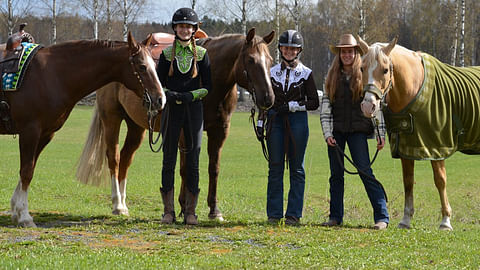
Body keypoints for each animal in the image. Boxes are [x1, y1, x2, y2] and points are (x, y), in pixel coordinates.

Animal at [0, 31, 165, 227]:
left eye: (155, 65)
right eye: (142, 66)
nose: (160, 99)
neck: (49, 74)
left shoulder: (45, 134)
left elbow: (28, 168)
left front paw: (16, 210)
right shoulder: (30, 131)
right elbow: (26, 171)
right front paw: (24, 215)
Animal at [77, 28, 276, 220]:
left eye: (270, 61)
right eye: (251, 60)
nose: (268, 98)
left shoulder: (219, 131)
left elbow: (213, 169)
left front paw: (214, 210)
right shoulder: (183, 133)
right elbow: (184, 169)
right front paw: (183, 206)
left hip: (136, 127)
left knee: (126, 159)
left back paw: (124, 205)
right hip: (112, 119)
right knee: (115, 158)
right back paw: (117, 205)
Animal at [358, 35, 480, 230]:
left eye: (385, 70)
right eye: (361, 68)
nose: (368, 106)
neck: (413, 88)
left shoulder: (437, 146)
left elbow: (440, 180)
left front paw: (445, 221)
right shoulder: (406, 147)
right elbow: (408, 181)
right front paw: (406, 220)